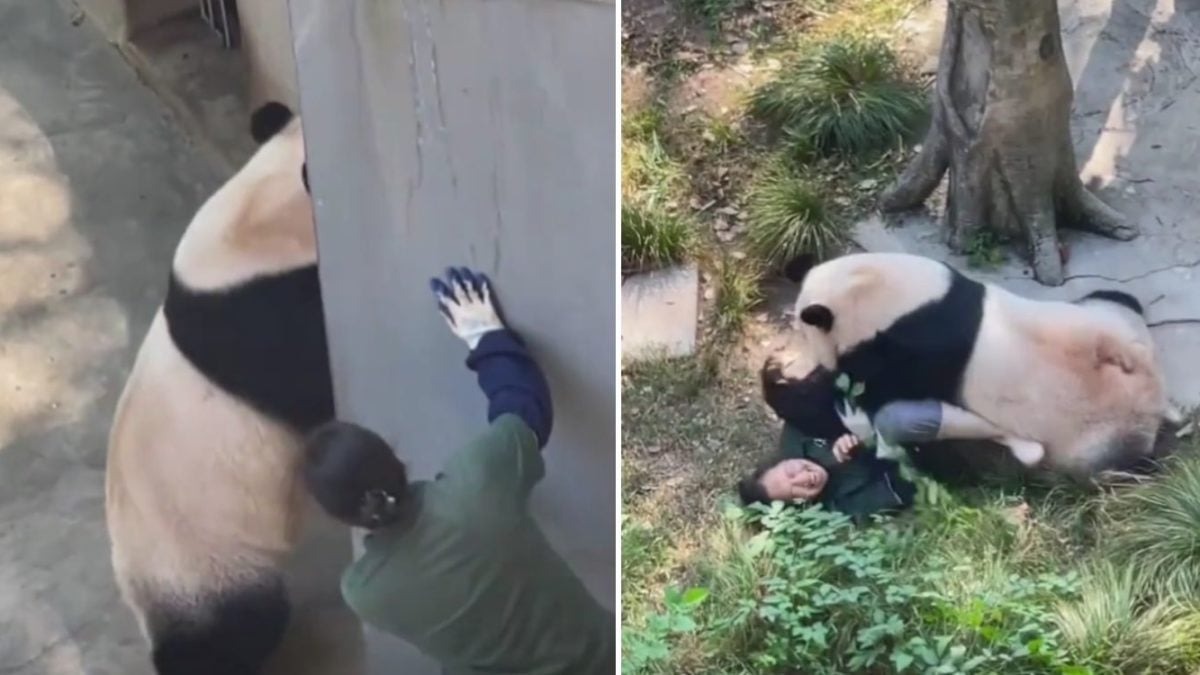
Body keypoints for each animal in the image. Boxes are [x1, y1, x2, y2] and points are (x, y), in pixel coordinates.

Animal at [787, 252, 1175, 481]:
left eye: (805, 334)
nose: (818, 361)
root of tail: (1155, 400)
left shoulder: (907, 349)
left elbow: (866, 392)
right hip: (1108, 319)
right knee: (1116, 298)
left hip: (1099, 433)